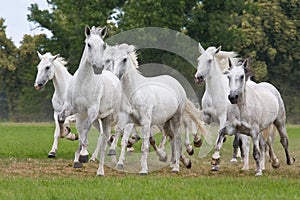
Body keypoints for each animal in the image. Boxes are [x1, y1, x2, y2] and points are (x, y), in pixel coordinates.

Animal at [99, 44, 206, 175]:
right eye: (111, 60)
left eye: (124, 59)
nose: (114, 76)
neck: (134, 92)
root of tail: (176, 83)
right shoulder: (126, 118)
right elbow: (121, 133)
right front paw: (114, 152)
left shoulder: (145, 122)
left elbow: (144, 146)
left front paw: (144, 169)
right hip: (166, 121)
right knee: (171, 138)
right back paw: (178, 161)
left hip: (176, 118)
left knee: (178, 139)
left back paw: (177, 166)